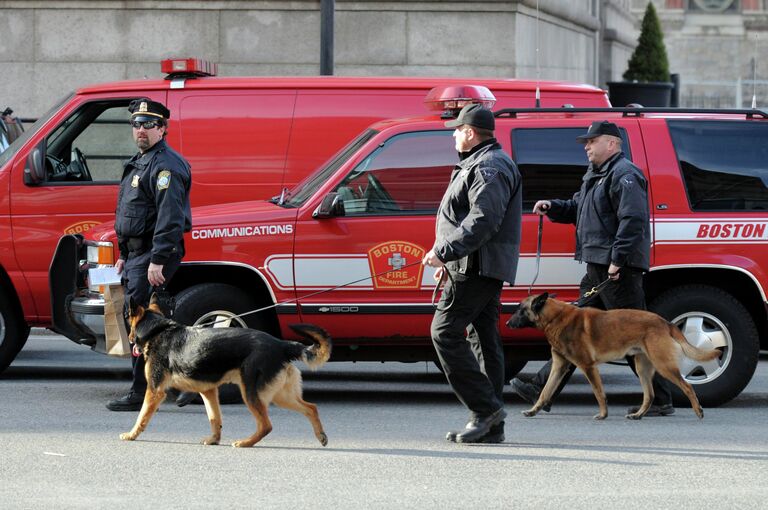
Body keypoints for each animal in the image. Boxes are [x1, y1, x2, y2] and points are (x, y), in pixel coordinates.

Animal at [119, 292, 330, 448]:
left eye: (127, 319)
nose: (129, 340)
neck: (156, 329)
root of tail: (281, 345)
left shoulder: (154, 391)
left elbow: (142, 416)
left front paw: (131, 434)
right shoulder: (208, 391)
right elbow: (214, 418)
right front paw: (214, 440)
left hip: (252, 394)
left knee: (266, 425)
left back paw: (245, 443)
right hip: (280, 395)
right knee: (311, 408)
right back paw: (321, 435)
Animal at [508, 292, 724, 420]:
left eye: (520, 310)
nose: (509, 323)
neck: (555, 317)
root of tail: (664, 322)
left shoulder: (588, 366)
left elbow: (599, 392)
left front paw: (603, 414)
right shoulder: (559, 366)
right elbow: (545, 392)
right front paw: (533, 410)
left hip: (663, 365)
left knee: (687, 386)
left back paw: (698, 410)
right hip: (643, 368)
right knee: (650, 394)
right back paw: (638, 414)